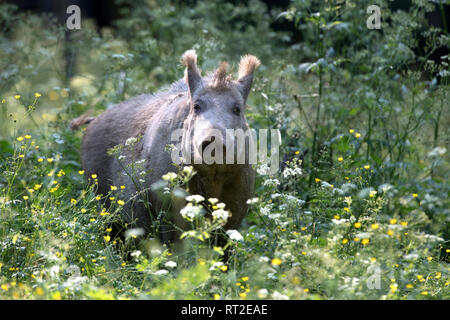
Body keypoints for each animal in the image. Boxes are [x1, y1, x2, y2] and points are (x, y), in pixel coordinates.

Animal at [71, 50, 260, 246]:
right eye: (196, 106)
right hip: (104, 205)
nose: (213, 139)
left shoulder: (236, 212)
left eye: (237, 109)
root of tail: (93, 121)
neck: (212, 181)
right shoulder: (168, 211)